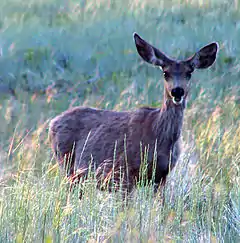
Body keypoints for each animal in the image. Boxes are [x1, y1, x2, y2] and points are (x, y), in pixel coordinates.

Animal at [48, 32, 218, 196]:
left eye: (189, 73)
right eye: (165, 73)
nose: (177, 91)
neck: (159, 135)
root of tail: (53, 122)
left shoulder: (161, 176)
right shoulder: (124, 172)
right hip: (68, 165)